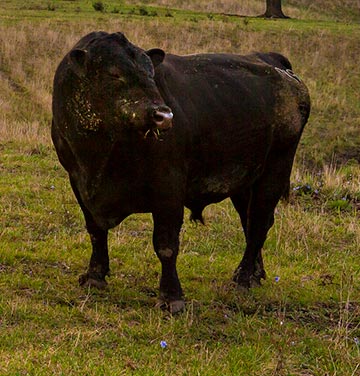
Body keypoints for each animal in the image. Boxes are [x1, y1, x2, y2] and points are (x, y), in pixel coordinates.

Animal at [50, 30, 310, 312]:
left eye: (150, 72)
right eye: (113, 73)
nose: (163, 115)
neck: (99, 156)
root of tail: (275, 63)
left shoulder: (169, 187)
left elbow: (166, 245)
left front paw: (171, 296)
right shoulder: (78, 182)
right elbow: (95, 231)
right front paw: (94, 276)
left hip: (275, 170)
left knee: (259, 223)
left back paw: (242, 278)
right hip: (244, 180)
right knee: (250, 221)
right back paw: (255, 273)